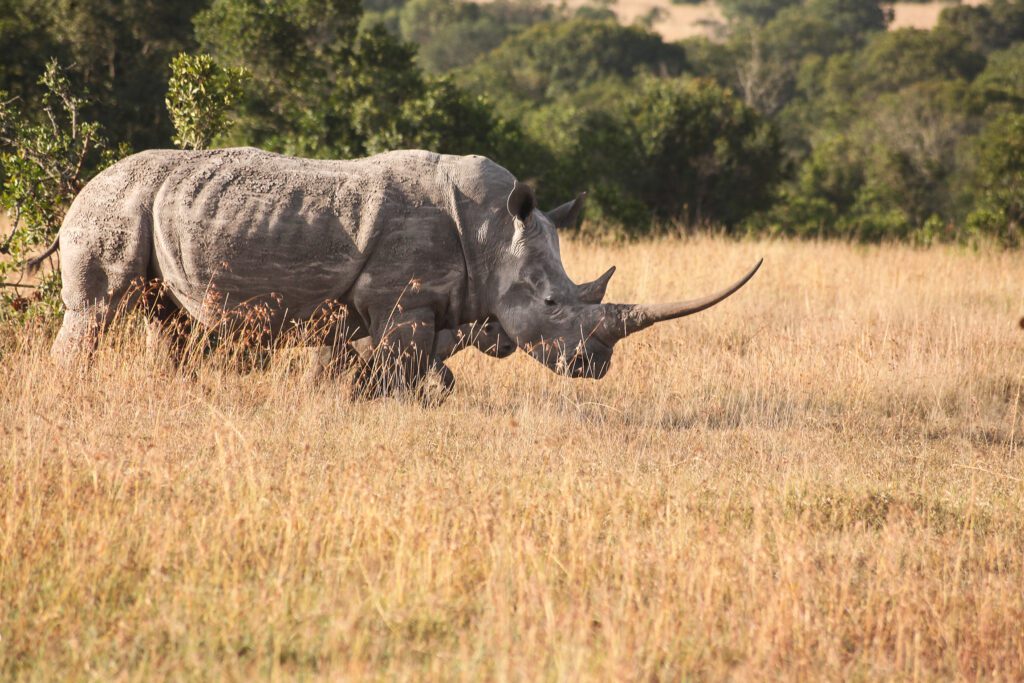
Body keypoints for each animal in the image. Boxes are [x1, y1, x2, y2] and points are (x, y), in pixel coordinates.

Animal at [48, 147, 761, 394]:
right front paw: (376, 406)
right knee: (97, 309)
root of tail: (88, 181)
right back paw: (72, 388)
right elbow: (401, 367)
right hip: (113, 202)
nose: (595, 367)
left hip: (159, 206)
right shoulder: (403, 301)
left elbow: (412, 368)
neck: (495, 233)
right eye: (553, 305)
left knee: (167, 319)